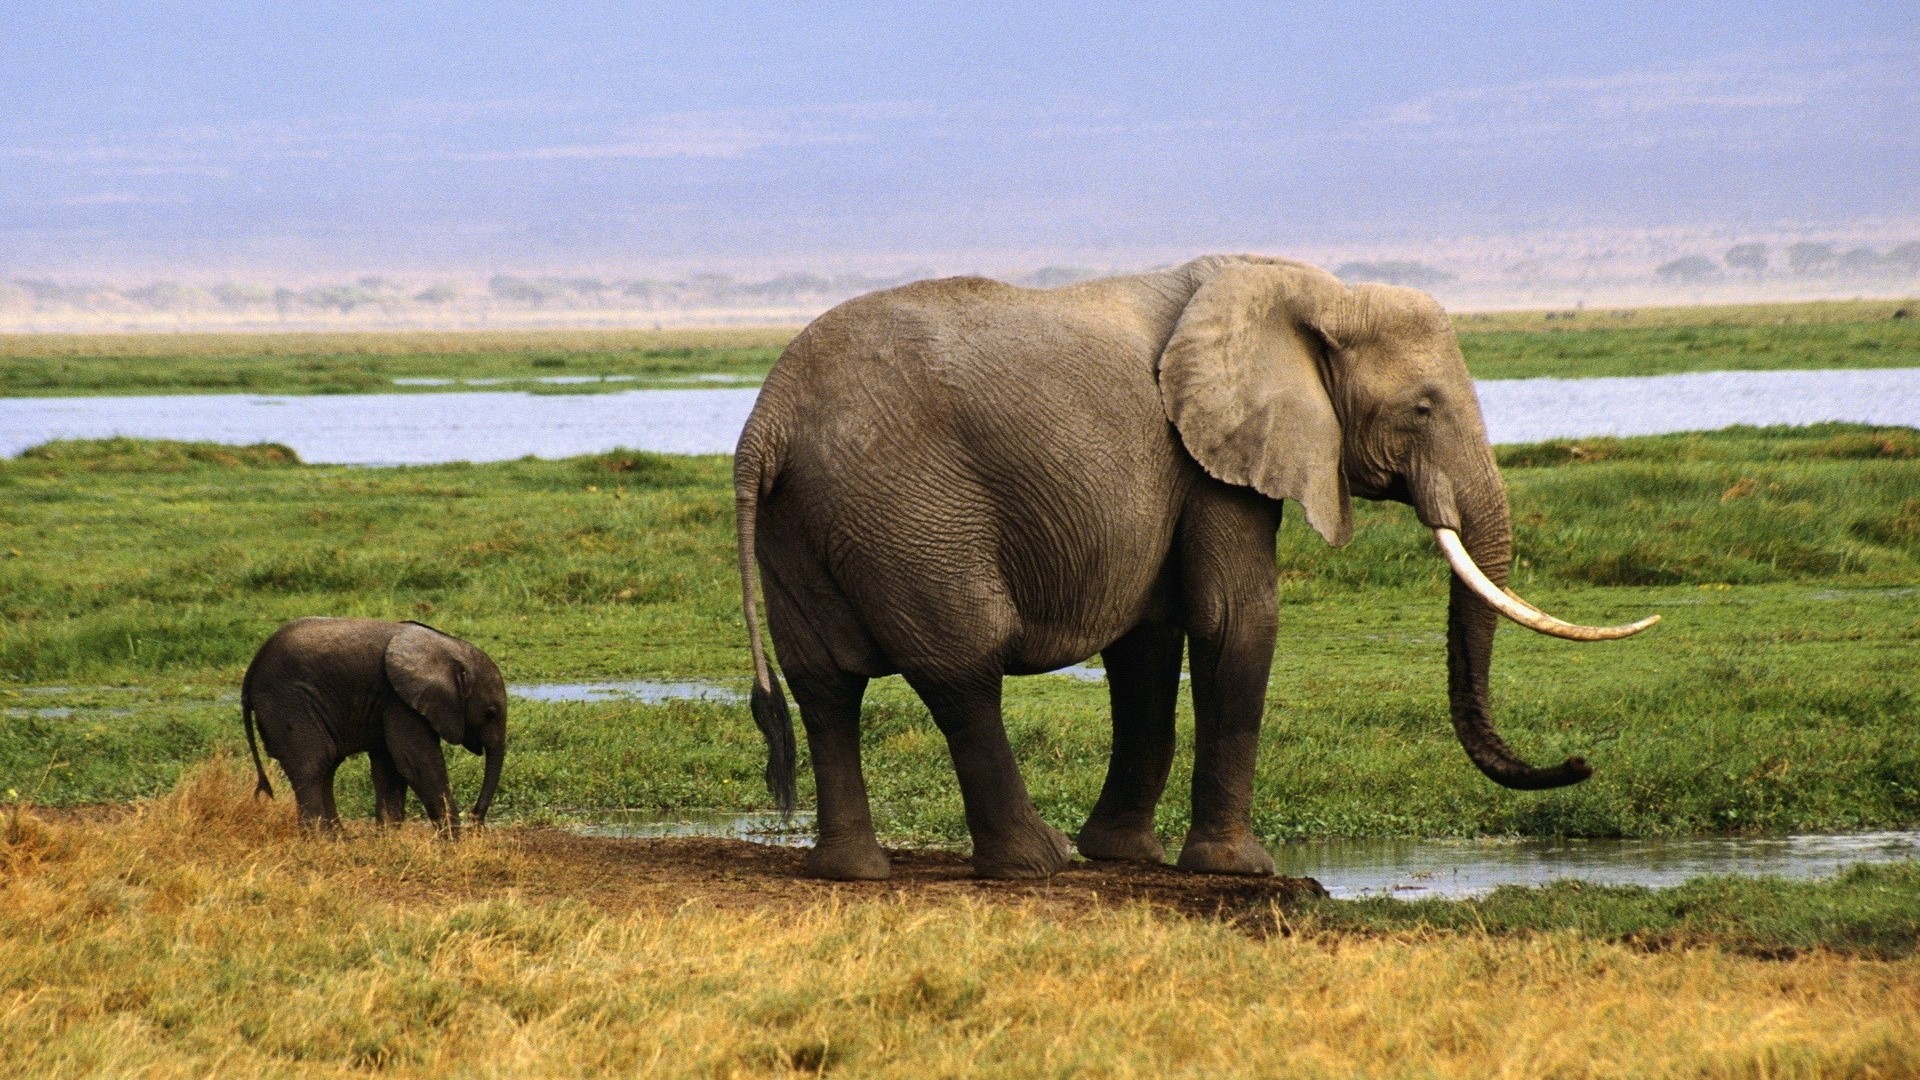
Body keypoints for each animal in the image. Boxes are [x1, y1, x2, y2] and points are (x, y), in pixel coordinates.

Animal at [242, 618, 507, 835]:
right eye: (491, 714)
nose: (475, 820)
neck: (448, 650)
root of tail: (251, 670)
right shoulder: (399, 701)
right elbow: (417, 764)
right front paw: (452, 841)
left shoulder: (390, 702)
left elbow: (391, 767)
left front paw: (388, 840)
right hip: (288, 701)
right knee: (312, 764)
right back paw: (320, 840)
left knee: (326, 765)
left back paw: (340, 840)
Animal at [732, 254, 1658, 881]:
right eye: (1424, 409)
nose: (1580, 764)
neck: (1302, 286)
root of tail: (765, 423)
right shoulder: (1214, 459)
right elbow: (1237, 621)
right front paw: (1240, 868)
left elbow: (1148, 641)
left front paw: (1127, 855)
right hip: (911, 512)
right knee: (962, 668)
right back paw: (1038, 862)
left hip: (810, 519)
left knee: (825, 686)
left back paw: (854, 872)